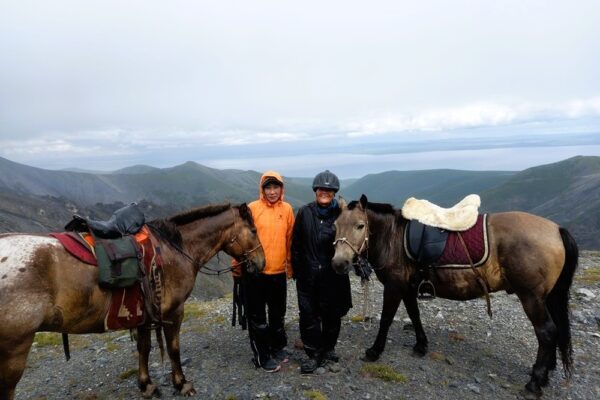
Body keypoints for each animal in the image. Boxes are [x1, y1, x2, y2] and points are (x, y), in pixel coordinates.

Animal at [0, 203, 264, 400]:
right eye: (253, 231)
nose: (261, 262)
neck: (176, 248)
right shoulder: (174, 312)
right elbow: (174, 348)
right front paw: (181, 384)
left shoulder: (143, 314)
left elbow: (144, 348)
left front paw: (146, 385)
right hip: (14, 350)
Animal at [330, 195, 580, 396]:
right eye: (335, 225)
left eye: (360, 225)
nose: (339, 263)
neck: (393, 238)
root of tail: (556, 229)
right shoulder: (408, 288)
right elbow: (415, 316)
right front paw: (421, 346)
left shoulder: (394, 287)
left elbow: (386, 320)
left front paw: (374, 351)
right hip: (546, 297)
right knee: (554, 331)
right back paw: (544, 375)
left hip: (531, 297)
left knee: (546, 332)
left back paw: (535, 382)